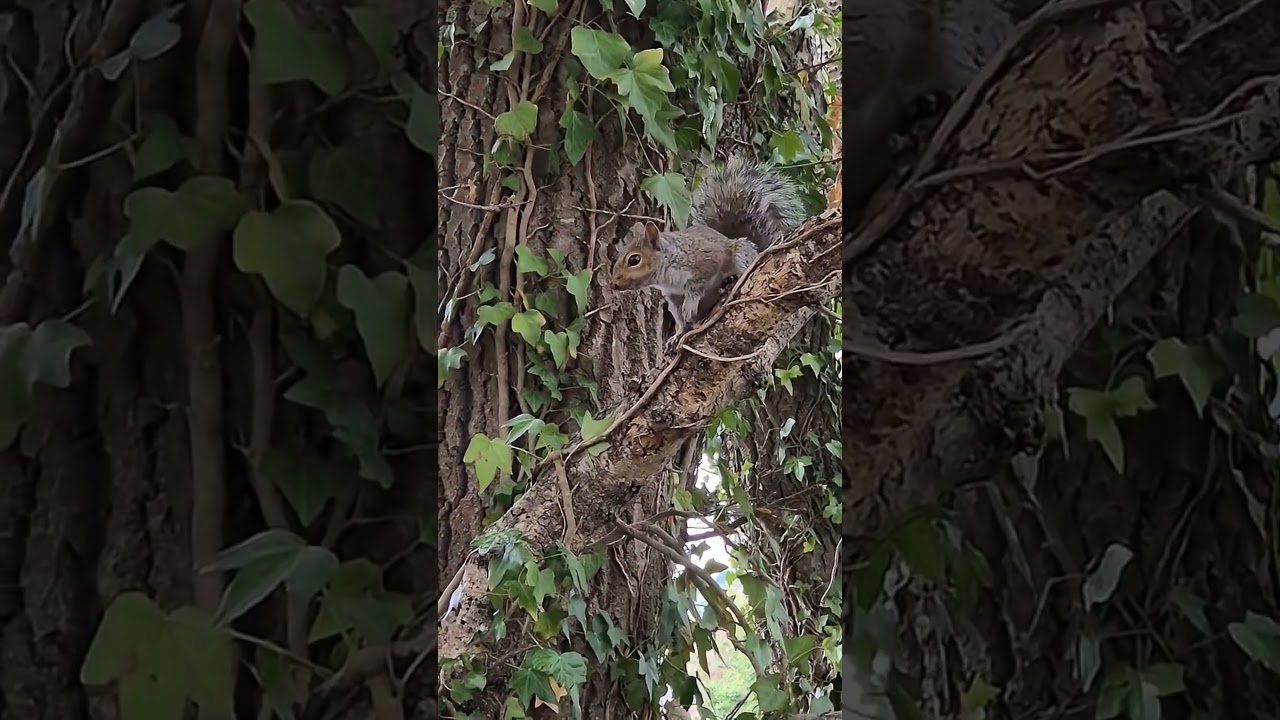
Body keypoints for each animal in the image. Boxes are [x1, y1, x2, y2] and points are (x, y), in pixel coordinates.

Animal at [610, 158, 806, 353]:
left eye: (634, 260)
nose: (614, 284)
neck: (667, 275)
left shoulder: (706, 260)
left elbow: (697, 284)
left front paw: (690, 303)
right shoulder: (673, 296)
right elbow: (680, 318)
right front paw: (678, 334)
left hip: (740, 253)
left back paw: (731, 280)